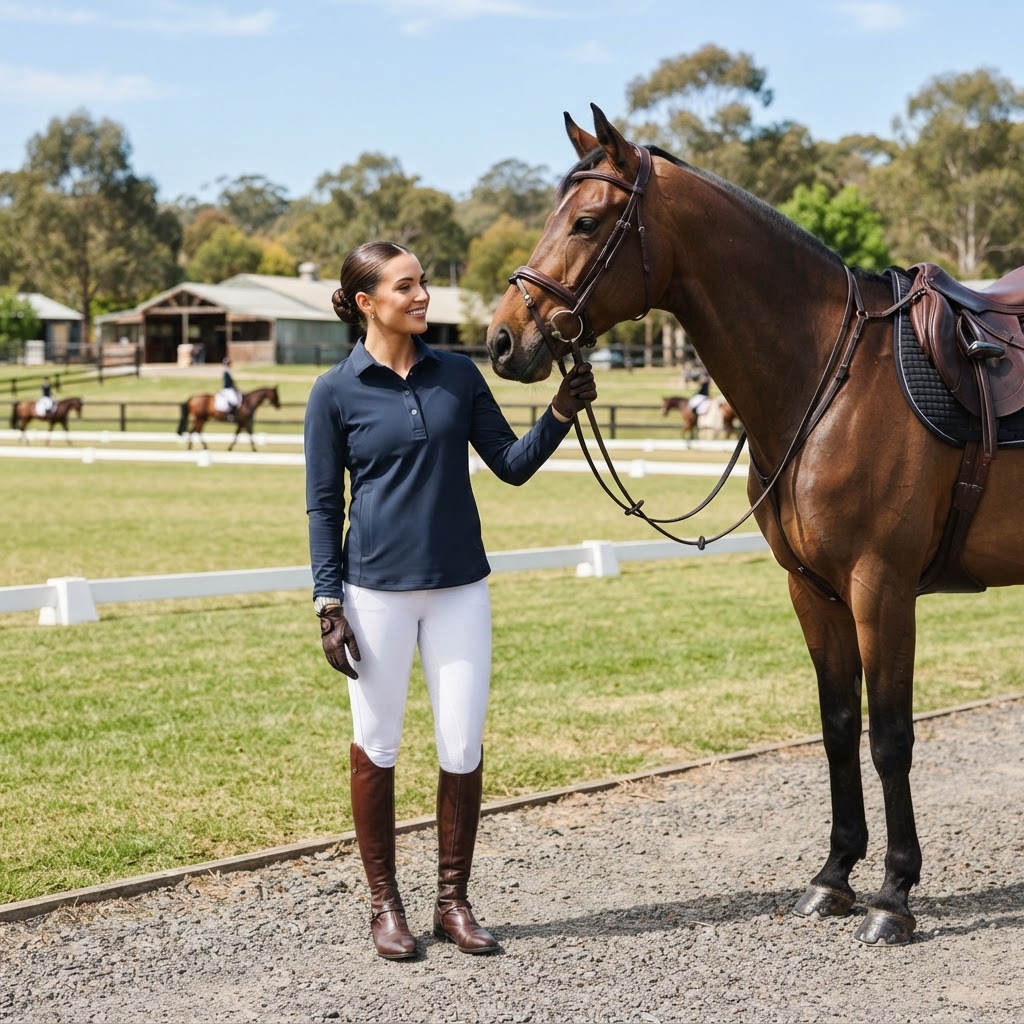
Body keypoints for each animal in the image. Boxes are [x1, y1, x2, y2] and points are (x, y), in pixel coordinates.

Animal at [486, 104, 1024, 946]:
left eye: (586, 220)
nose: (504, 339)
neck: (831, 374)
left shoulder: (881, 589)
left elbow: (890, 737)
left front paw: (894, 895)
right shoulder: (814, 593)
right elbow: (838, 727)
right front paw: (835, 877)